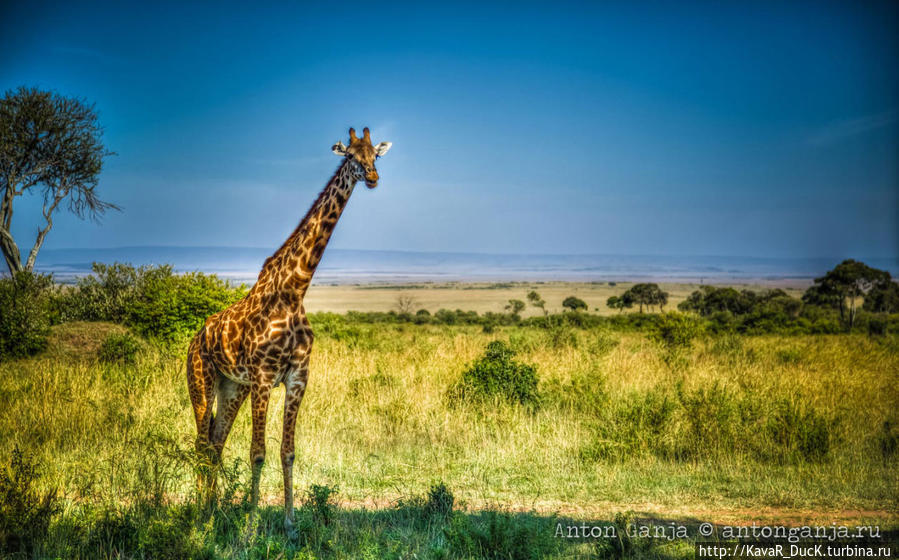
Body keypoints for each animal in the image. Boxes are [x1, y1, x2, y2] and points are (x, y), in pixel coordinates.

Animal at [186, 128, 390, 532]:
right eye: (352, 157)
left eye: (375, 155)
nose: (373, 177)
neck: (295, 290)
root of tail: (195, 339)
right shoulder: (265, 378)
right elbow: (257, 452)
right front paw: (250, 527)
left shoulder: (297, 376)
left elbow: (288, 451)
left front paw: (290, 523)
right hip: (201, 381)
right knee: (201, 444)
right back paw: (202, 516)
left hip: (232, 387)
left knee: (215, 444)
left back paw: (213, 511)